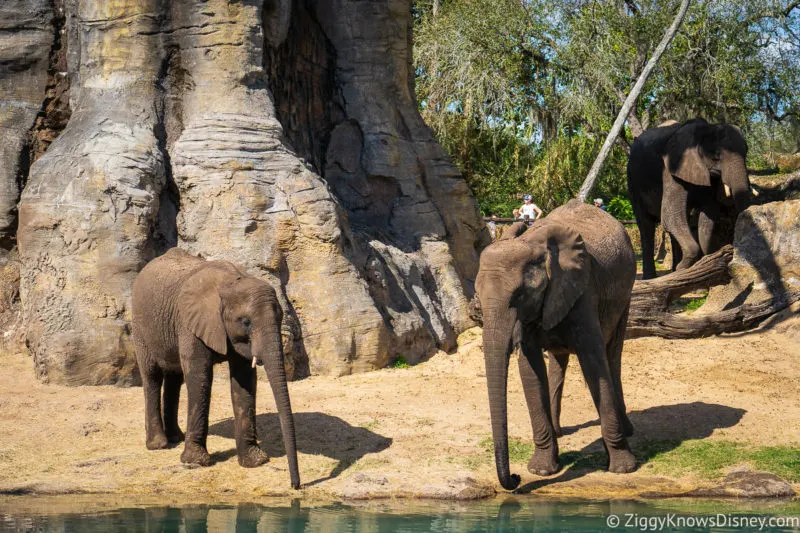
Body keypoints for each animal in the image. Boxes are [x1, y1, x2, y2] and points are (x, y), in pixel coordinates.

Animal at [131, 247, 300, 488]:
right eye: (246, 322)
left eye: (280, 318)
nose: (295, 485)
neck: (230, 282)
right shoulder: (189, 323)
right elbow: (200, 377)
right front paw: (196, 462)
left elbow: (244, 381)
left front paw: (255, 461)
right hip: (141, 325)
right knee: (152, 376)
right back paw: (159, 445)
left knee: (174, 378)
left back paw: (176, 437)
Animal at [476, 201, 636, 490]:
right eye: (477, 298)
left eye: (520, 294)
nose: (515, 478)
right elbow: (530, 370)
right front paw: (541, 470)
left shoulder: (583, 292)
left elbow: (594, 364)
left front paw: (623, 468)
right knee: (558, 360)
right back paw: (559, 432)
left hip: (625, 293)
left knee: (612, 356)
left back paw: (627, 430)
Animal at [628, 117, 752, 278]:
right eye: (716, 155)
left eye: (747, 152)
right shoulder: (671, 170)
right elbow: (670, 217)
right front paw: (684, 268)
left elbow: (708, 215)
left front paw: (706, 263)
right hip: (633, 181)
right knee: (646, 226)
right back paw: (653, 277)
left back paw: (673, 271)